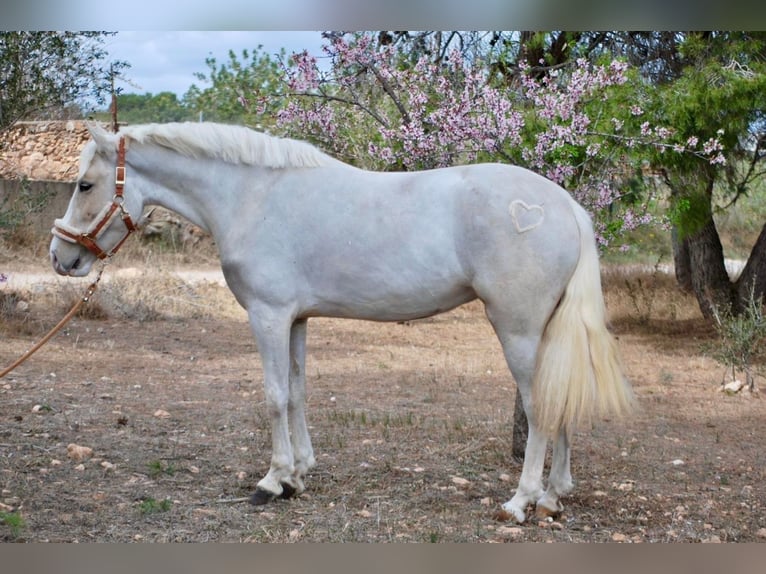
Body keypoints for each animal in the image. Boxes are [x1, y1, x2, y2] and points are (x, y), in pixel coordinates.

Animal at [49, 122, 636, 528]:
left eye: (85, 185)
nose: (60, 257)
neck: (252, 197)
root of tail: (566, 204)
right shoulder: (295, 318)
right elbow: (297, 392)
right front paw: (299, 474)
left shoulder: (267, 315)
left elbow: (273, 396)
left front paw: (271, 481)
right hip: (549, 333)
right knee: (560, 401)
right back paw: (554, 496)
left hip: (518, 330)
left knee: (539, 408)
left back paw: (520, 502)